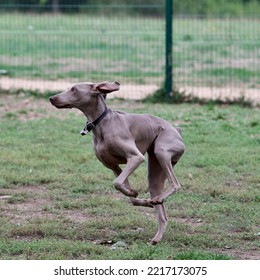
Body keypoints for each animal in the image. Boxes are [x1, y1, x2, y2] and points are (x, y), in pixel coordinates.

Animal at [49, 80, 185, 243]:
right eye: (69, 88)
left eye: (74, 90)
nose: (51, 98)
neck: (102, 123)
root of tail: (177, 130)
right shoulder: (113, 166)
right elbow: (129, 195)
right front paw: (138, 197)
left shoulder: (135, 157)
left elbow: (117, 183)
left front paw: (135, 193)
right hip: (155, 173)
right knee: (162, 213)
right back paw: (156, 234)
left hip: (161, 151)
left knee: (175, 184)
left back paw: (157, 200)